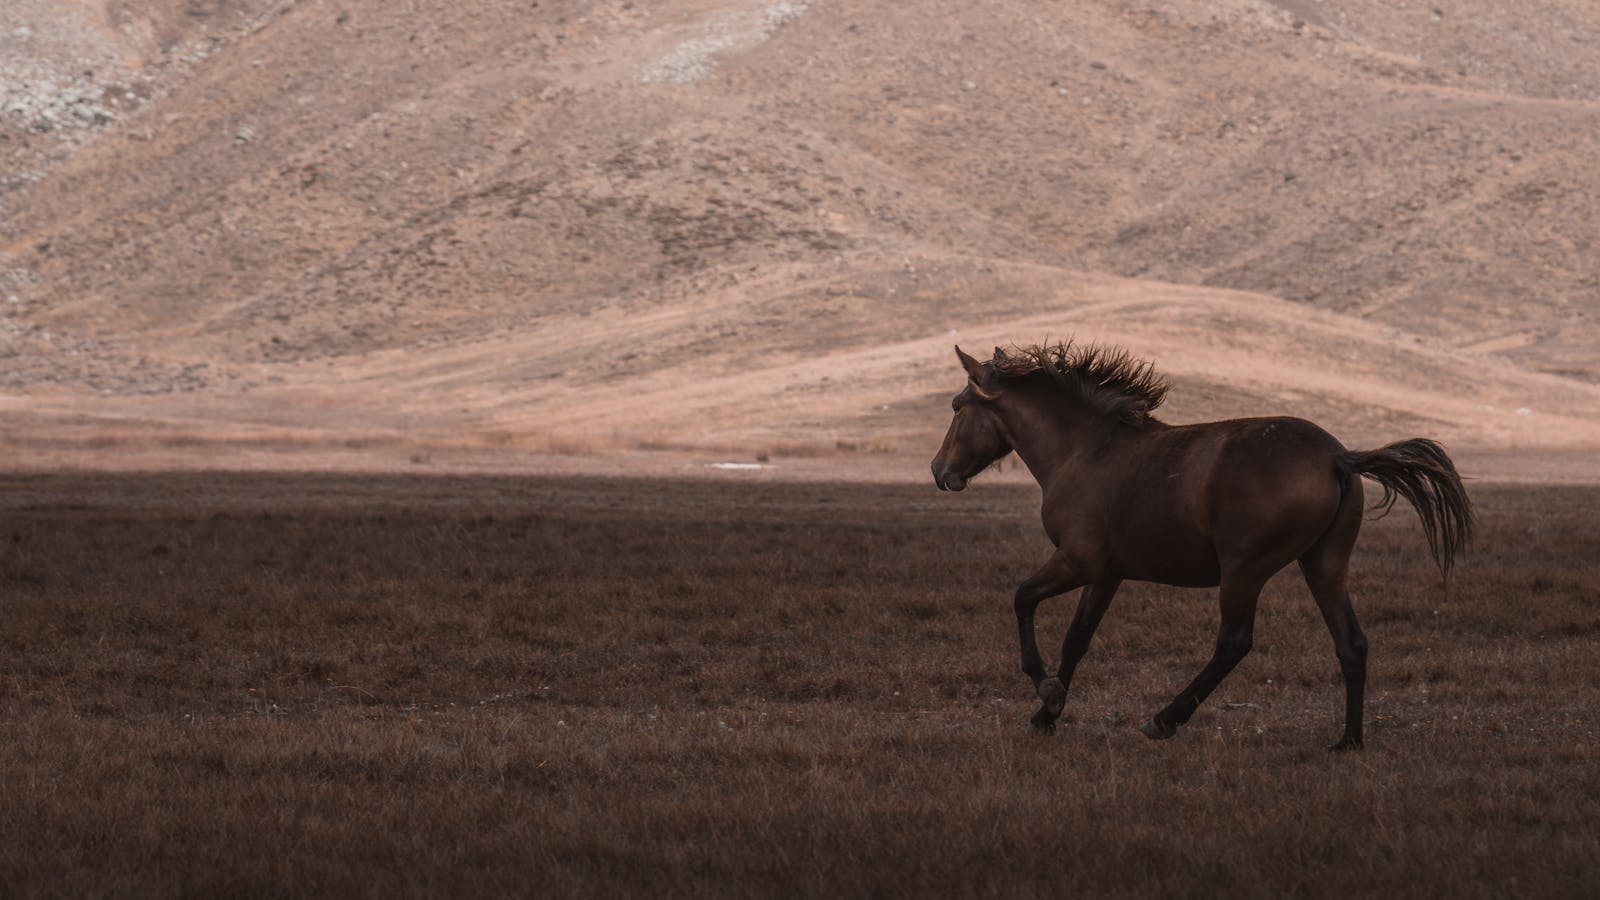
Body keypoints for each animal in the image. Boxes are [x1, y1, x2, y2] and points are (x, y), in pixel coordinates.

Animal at [928, 339, 1472, 746]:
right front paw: (1048, 714)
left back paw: (1165, 719)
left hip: (1245, 570)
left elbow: (1022, 600)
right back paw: (1348, 741)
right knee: (1351, 643)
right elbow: (1077, 639)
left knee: (1234, 643)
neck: (1084, 451)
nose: (938, 471)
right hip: (1324, 564)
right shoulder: (1107, 574)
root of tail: (1339, 457)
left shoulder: (1078, 561)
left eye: (957, 407)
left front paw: (1046, 693)